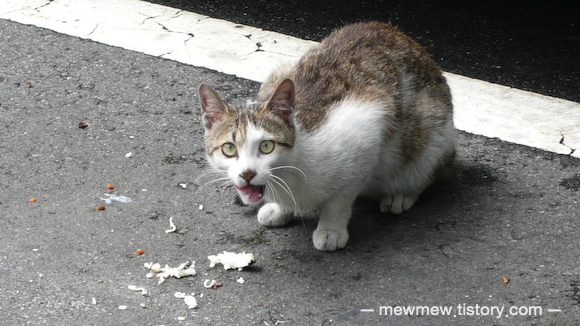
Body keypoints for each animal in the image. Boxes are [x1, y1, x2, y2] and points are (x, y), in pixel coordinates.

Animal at [199, 21, 458, 251]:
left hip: (431, 130)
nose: (247, 174)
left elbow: (340, 200)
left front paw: (330, 230)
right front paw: (281, 208)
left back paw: (402, 193)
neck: (291, 170)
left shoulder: (368, 131)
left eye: (266, 146)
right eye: (229, 149)